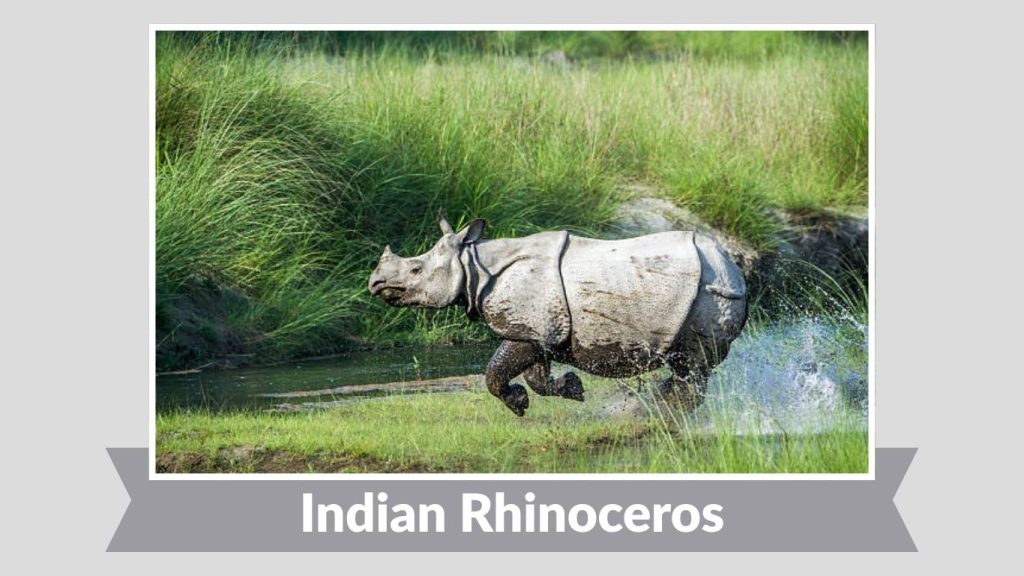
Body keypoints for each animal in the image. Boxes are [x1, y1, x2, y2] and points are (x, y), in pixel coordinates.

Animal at [368, 212, 748, 417]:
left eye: (415, 270)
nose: (375, 283)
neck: (473, 264)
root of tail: (732, 265)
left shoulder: (529, 328)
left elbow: (494, 372)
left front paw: (519, 404)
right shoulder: (537, 330)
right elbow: (536, 377)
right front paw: (570, 389)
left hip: (708, 293)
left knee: (693, 362)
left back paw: (660, 413)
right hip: (698, 292)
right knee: (685, 365)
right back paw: (655, 406)